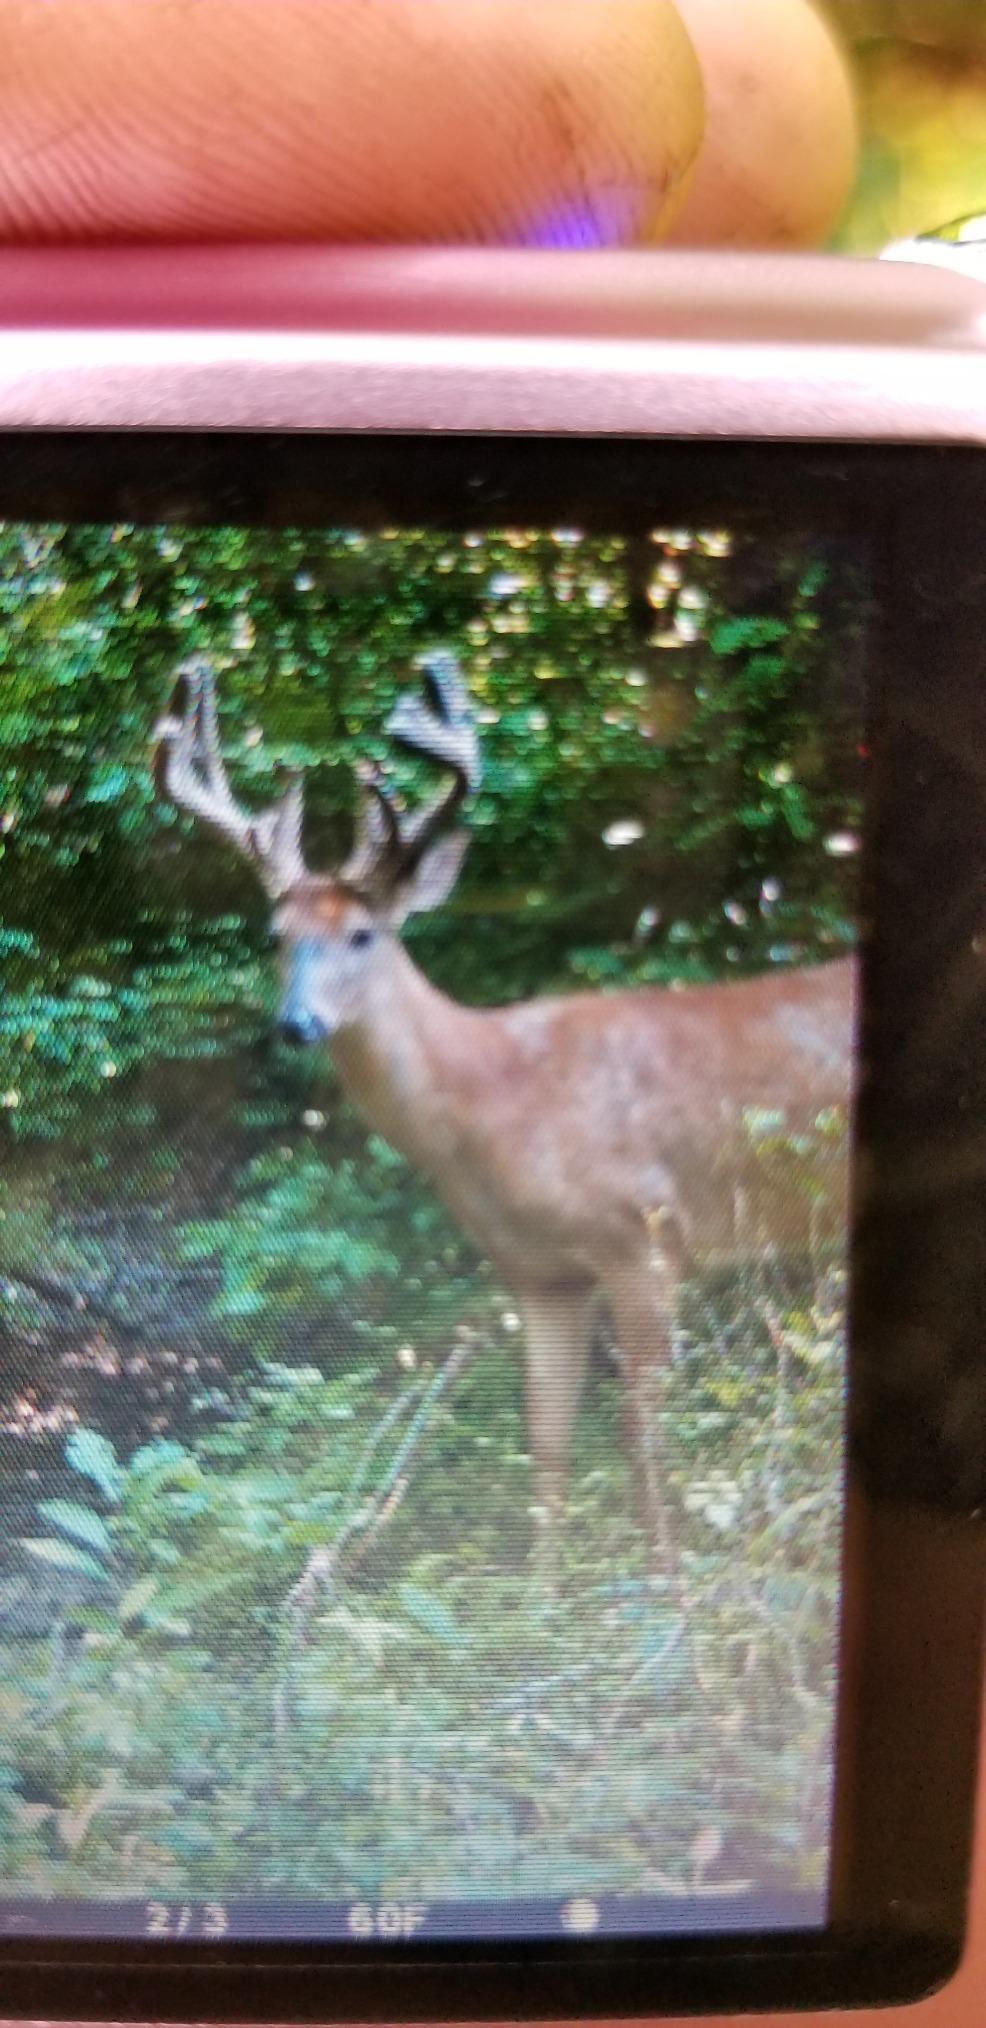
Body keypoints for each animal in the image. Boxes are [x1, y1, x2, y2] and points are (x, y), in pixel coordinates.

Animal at [154, 655, 855, 1571]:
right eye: (278, 934)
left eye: (363, 934)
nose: (297, 1023)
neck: (494, 1098)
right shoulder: (538, 1274)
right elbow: (546, 1448)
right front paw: (544, 1593)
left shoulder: (645, 1238)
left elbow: (643, 1442)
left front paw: (664, 1588)